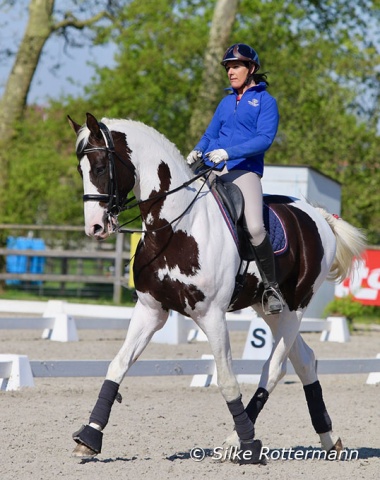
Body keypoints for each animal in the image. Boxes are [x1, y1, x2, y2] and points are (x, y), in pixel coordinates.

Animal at [67, 113, 366, 464]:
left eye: (101, 168)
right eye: (81, 171)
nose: (95, 227)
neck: (175, 227)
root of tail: (318, 216)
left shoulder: (212, 315)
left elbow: (227, 380)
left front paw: (249, 443)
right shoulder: (150, 311)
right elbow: (118, 365)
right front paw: (90, 436)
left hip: (296, 307)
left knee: (275, 368)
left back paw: (237, 442)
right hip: (270, 310)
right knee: (304, 360)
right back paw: (329, 439)